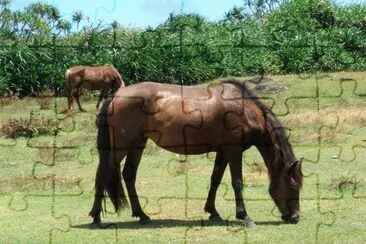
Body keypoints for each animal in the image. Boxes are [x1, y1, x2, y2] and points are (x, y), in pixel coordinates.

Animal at [88, 78, 304, 229]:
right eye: (293, 185)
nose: (295, 217)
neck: (244, 110)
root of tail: (115, 95)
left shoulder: (223, 152)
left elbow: (215, 179)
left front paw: (213, 212)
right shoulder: (234, 151)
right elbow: (237, 183)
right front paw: (245, 216)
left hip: (137, 144)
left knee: (128, 176)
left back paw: (142, 215)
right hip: (120, 147)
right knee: (102, 174)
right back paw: (96, 218)